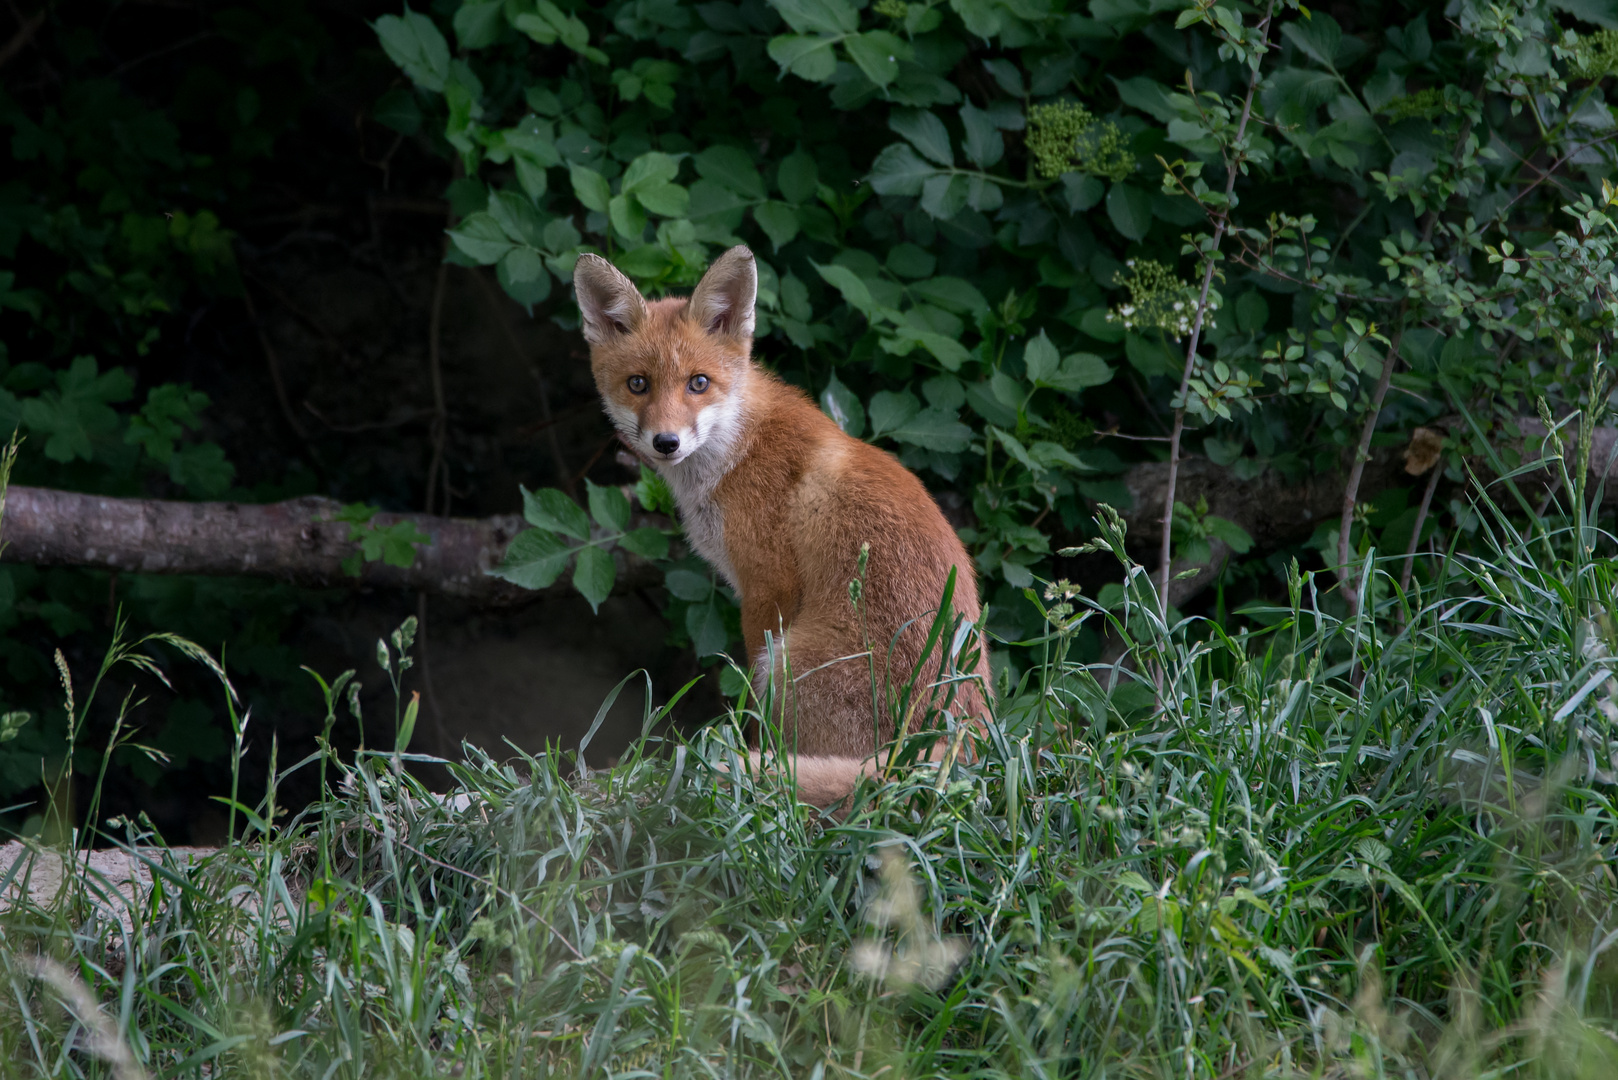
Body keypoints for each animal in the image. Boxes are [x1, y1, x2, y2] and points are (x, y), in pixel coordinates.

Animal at [576, 244, 990, 803]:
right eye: (637, 384)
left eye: (698, 383)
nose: (666, 442)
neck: (736, 450)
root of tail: (959, 747)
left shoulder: (767, 588)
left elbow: (750, 706)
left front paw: (752, 761)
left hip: (790, 662)